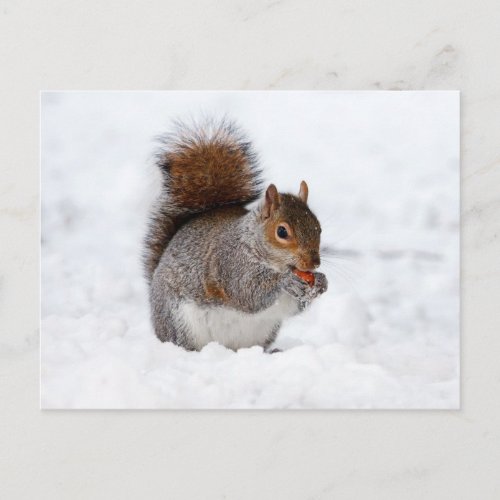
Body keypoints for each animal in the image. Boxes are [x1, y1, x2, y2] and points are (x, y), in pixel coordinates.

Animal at [144, 119, 328, 352]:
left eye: (319, 227)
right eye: (282, 231)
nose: (314, 263)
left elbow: (294, 307)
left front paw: (321, 282)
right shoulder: (230, 263)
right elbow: (247, 293)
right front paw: (285, 281)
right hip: (179, 322)